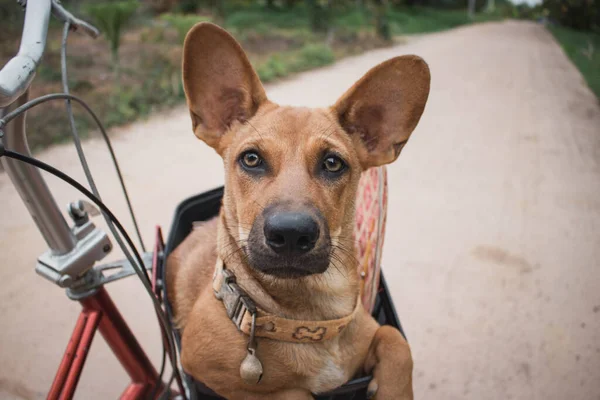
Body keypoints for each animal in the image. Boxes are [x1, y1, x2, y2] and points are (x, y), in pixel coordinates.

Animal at [168, 22, 432, 400]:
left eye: (333, 163)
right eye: (251, 159)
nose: (291, 234)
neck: (310, 320)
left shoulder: (372, 334)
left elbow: (396, 341)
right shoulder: (202, 367)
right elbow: (288, 392)